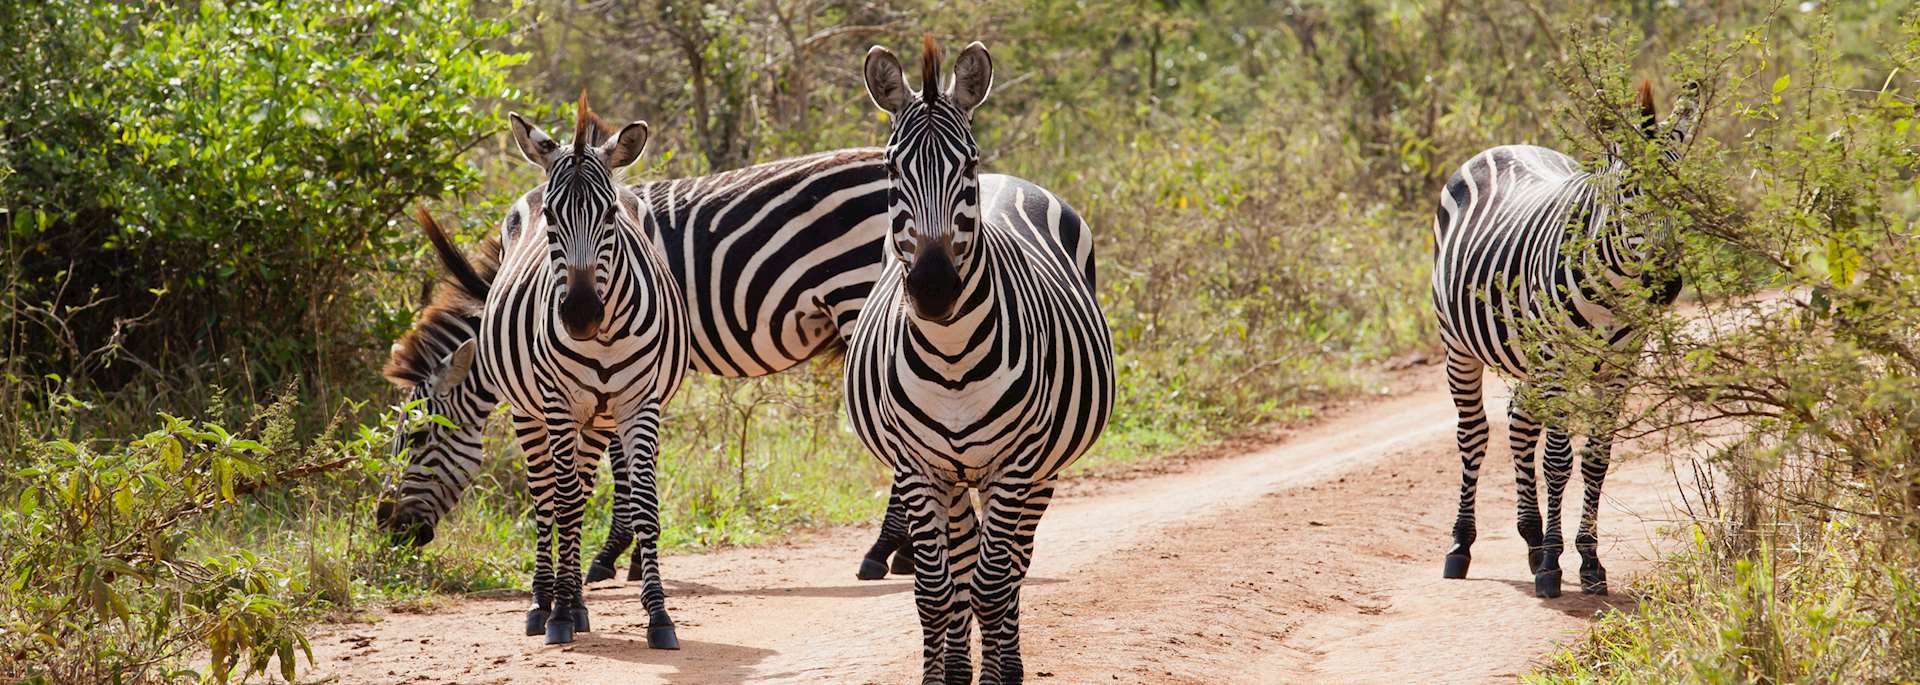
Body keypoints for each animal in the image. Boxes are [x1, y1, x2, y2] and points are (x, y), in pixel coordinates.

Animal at [376, 148, 1096, 583]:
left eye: (415, 438)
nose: (386, 528)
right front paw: (625, 554)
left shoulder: (630, 361)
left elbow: (618, 461)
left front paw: (613, 557)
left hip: (873, 310)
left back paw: (882, 553)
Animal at [468, 93, 690, 647]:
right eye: (551, 215)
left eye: (609, 214)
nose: (582, 315)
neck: (604, 336)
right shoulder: (558, 405)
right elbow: (563, 505)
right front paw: (560, 612)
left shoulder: (639, 404)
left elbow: (645, 506)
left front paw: (658, 616)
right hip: (530, 412)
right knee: (548, 499)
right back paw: (545, 601)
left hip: (599, 419)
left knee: (580, 491)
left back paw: (576, 601)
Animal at [844, 38, 1114, 685]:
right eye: (891, 169)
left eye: (964, 165)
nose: (934, 289)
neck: (952, 357)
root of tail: (1007, 179)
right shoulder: (917, 467)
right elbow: (936, 592)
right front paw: (940, 677)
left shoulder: (1015, 463)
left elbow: (994, 586)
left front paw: (996, 675)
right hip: (955, 473)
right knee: (965, 566)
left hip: (1037, 467)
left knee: (1013, 564)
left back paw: (1005, 663)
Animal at [1433, 81, 1698, 598]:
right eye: (1628, 194)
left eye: (1676, 193)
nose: (1666, 286)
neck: (1614, 285)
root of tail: (1505, 146)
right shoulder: (1559, 360)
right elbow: (1558, 460)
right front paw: (1554, 565)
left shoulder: (1619, 367)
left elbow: (1596, 459)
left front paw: (1588, 561)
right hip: (1460, 346)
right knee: (1473, 433)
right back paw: (1461, 546)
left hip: (1530, 357)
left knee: (1519, 423)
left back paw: (1531, 537)